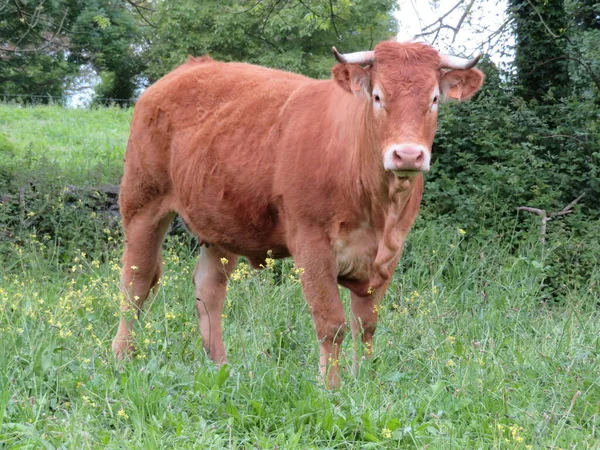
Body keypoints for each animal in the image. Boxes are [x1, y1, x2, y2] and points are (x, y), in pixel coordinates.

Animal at [112, 41, 482, 386]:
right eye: (378, 96)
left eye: (434, 99)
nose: (407, 155)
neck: (378, 210)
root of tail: (187, 68)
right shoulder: (312, 242)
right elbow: (332, 323)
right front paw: (331, 387)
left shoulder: (388, 254)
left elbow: (367, 324)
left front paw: (365, 381)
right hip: (142, 202)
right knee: (136, 283)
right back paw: (122, 357)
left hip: (220, 224)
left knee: (209, 290)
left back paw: (220, 366)